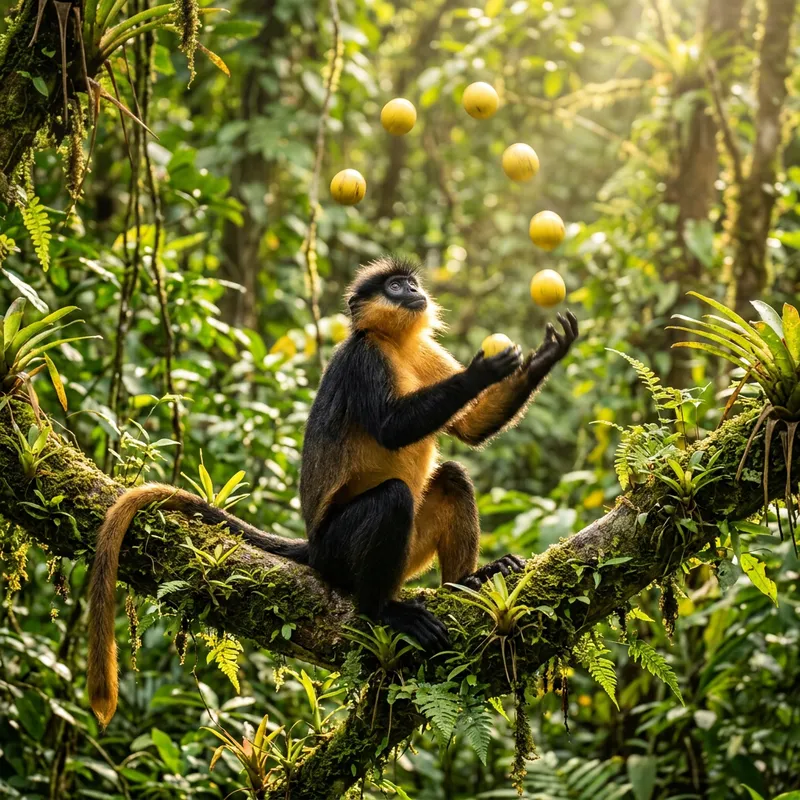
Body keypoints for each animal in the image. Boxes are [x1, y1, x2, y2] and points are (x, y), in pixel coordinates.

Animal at [86, 256, 577, 727]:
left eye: (411, 284)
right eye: (395, 287)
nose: (412, 291)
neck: (394, 344)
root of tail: (314, 544)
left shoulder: (424, 350)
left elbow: (471, 429)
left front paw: (547, 355)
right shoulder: (362, 358)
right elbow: (392, 429)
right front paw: (484, 370)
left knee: (453, 477)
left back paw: (468, 582)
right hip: (339, 551)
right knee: (394, 497)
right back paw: (382, 611)